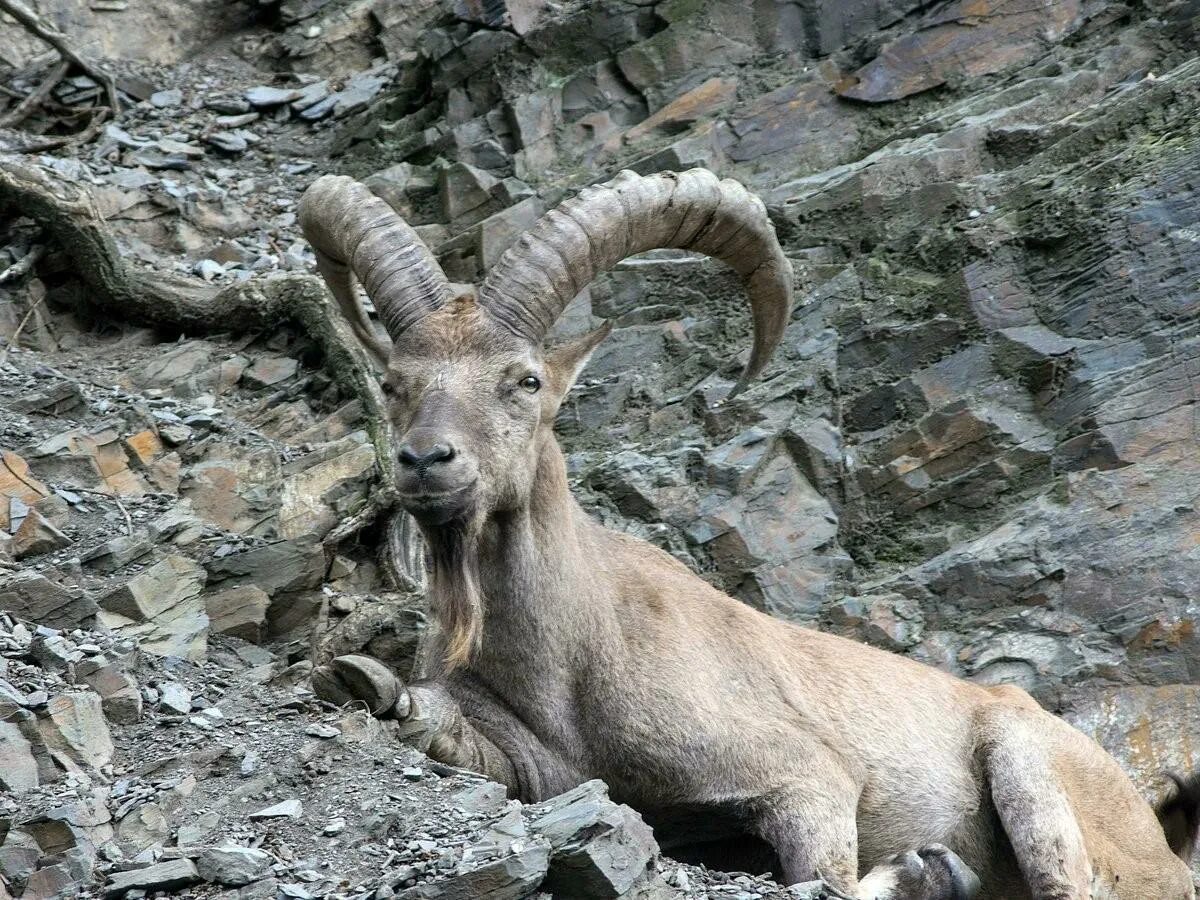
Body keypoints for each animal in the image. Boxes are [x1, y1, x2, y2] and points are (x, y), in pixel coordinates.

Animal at [300, 169, 1200, 900]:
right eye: (394, 381)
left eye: (524, 380)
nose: (426, 460)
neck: (576, 649)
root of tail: (1156, 838)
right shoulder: (541, 766)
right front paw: (369, 688)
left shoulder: (805, 775)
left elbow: (823, 872)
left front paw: (920, 869)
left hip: (1026, 762)